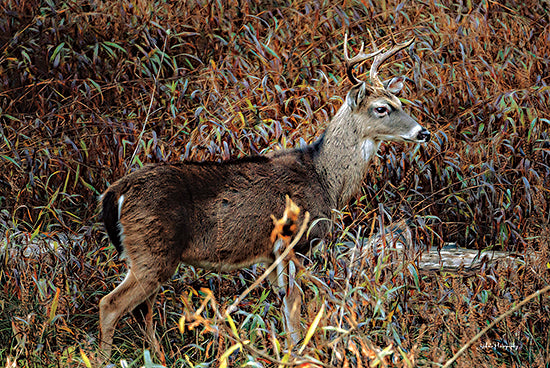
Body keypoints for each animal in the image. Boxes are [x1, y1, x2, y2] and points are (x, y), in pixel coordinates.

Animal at [101, 32, 434, 360]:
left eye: (399, 101)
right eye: (381, 108)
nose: (424, 132)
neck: (325, 179)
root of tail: (114, 192)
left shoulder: (271, 255)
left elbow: (284, 304)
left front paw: (288, 351)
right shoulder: (293, 241)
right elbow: (295, 304)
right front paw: (300, 353)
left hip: (142, 255)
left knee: (142, 309)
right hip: (153, 252)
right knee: (111, 305)